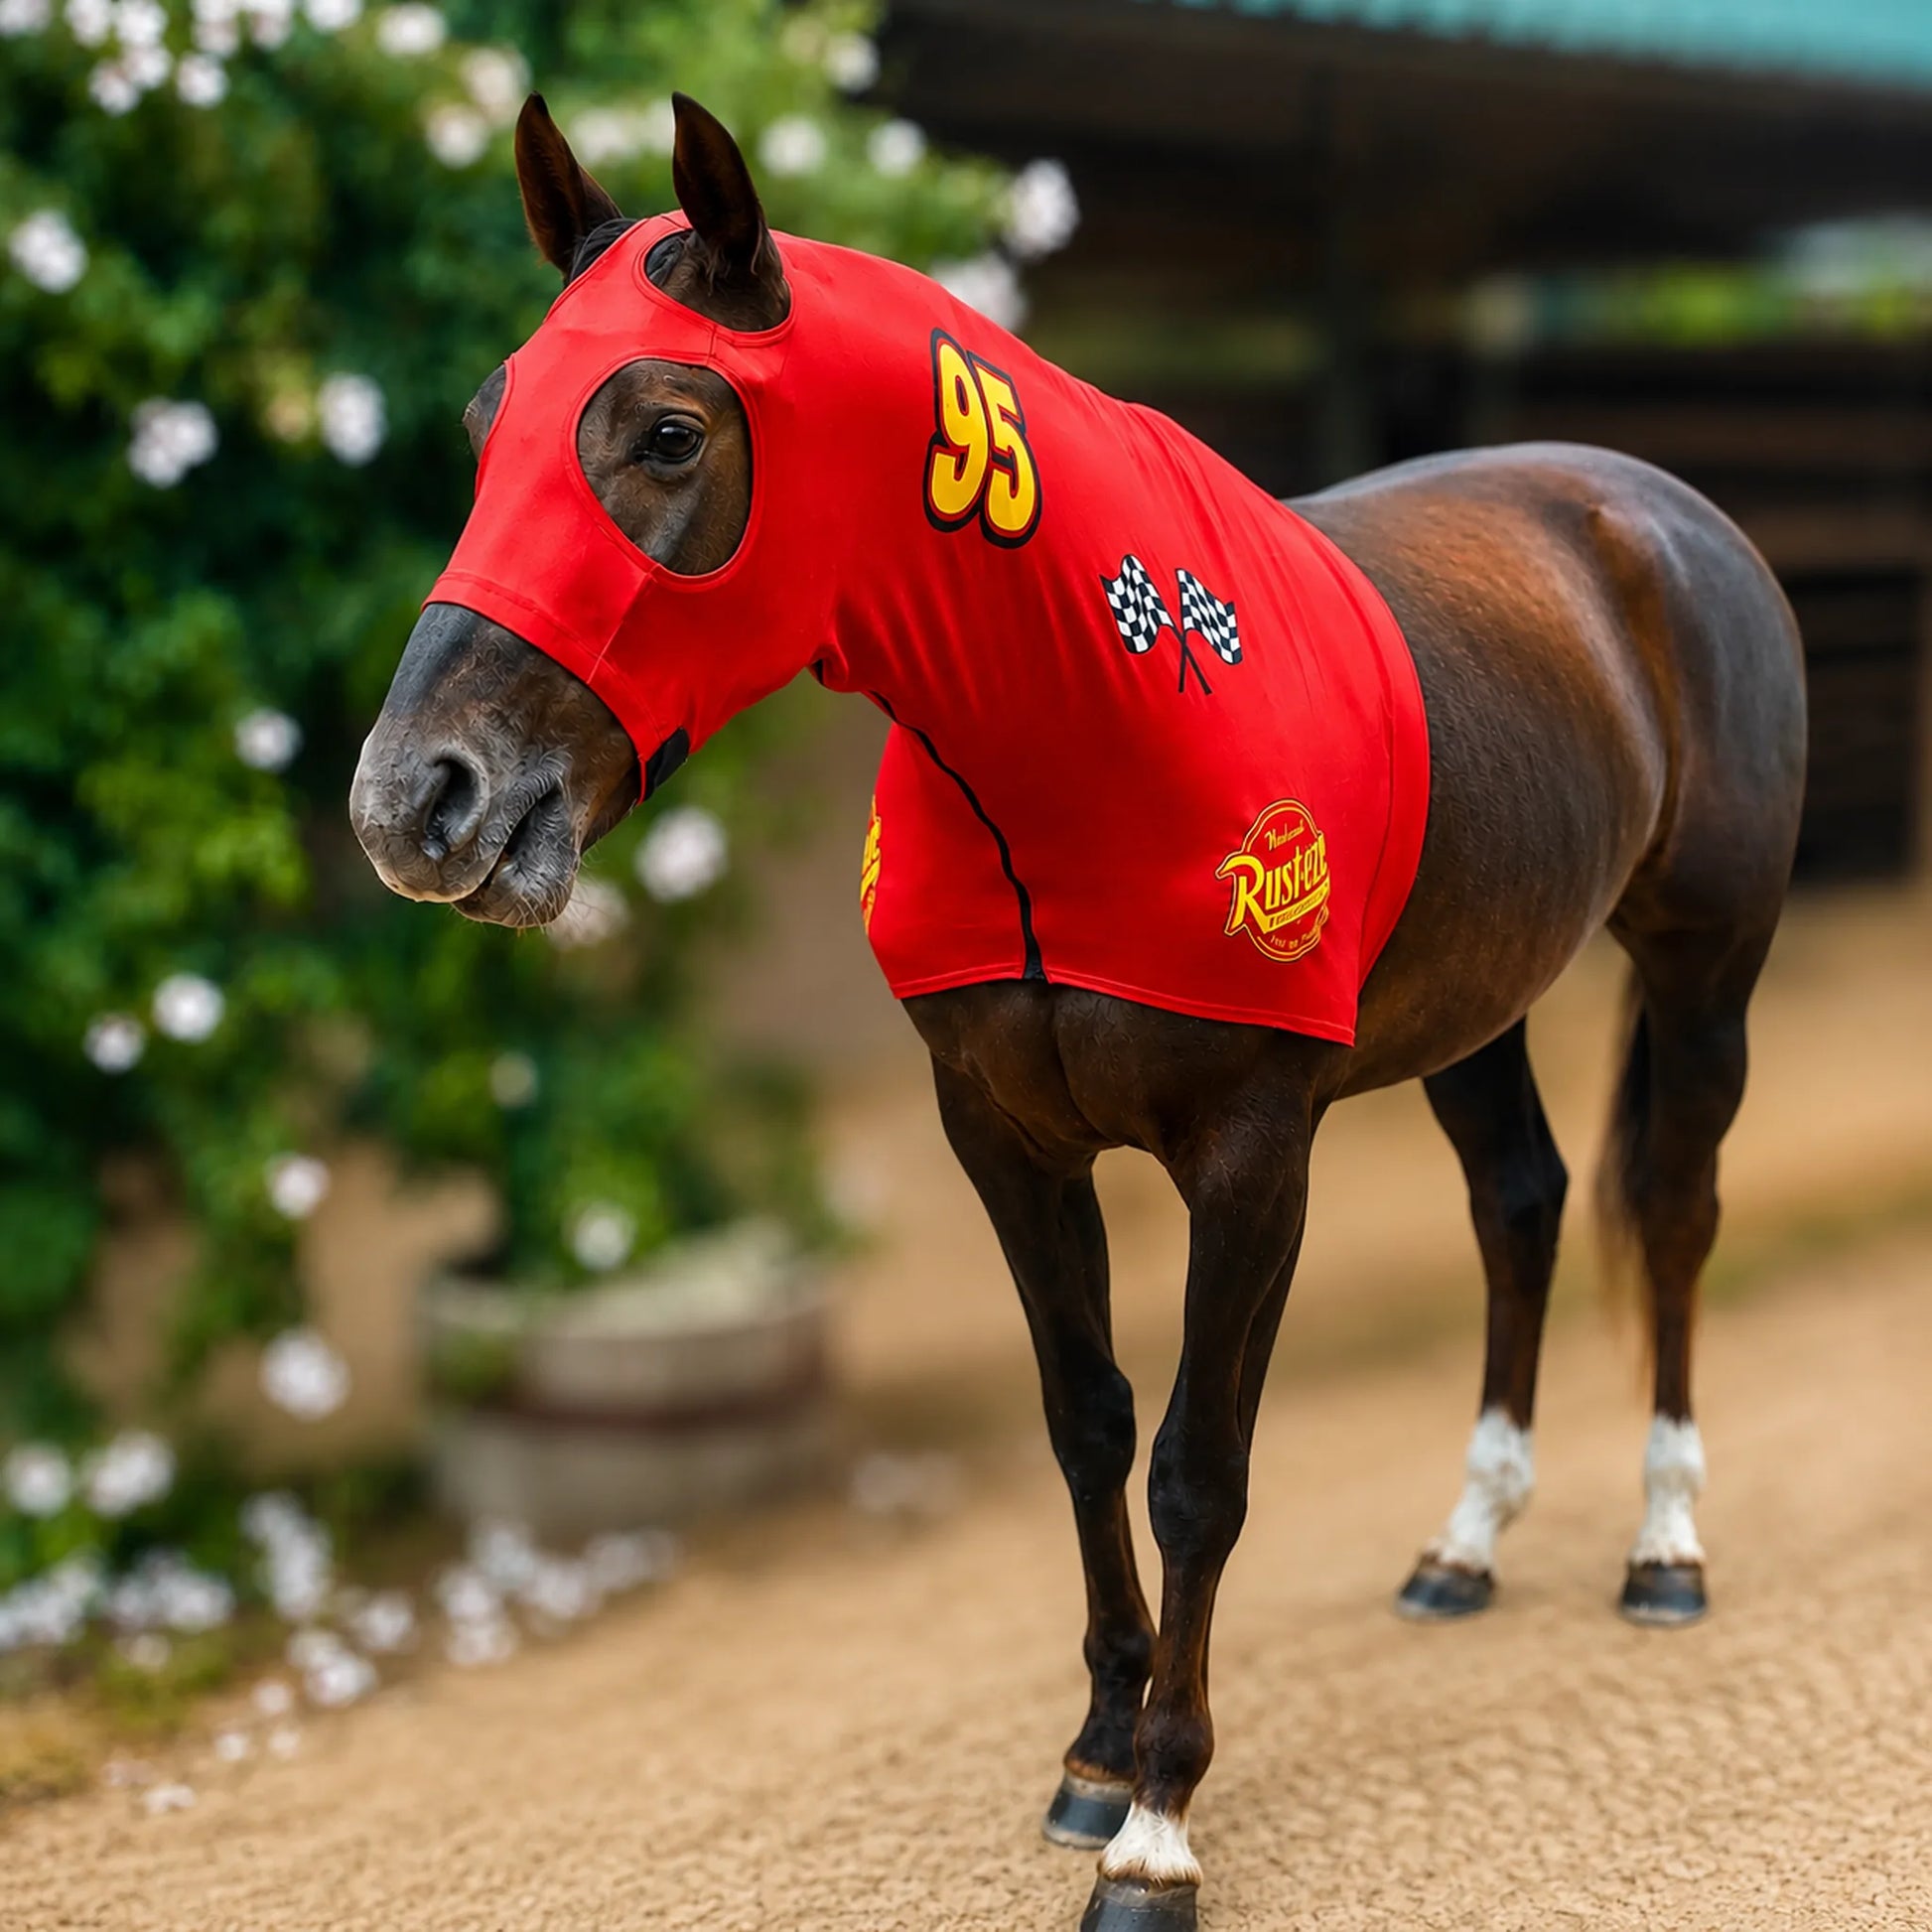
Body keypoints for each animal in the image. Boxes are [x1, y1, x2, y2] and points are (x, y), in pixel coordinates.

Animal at [349, 94, 1806, 1932]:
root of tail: (1652, 510)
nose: (415, 800)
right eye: (490, 428)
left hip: (1702, 959)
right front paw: (1096, 1754)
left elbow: (1197, 1462)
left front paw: (1160, 1825)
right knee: (1522, 1203)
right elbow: (1087, 1418)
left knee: (1670, 1207)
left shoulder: (1254, 1156)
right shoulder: (1004, 1139)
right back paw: (1463, 1546)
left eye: (668, 431)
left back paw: (1665, 1547)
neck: (1085, 728)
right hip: (1478, 997)